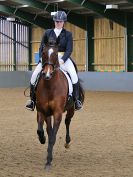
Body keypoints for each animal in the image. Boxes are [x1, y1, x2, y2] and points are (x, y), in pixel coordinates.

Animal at [35, 40, 84, 169]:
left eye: (56, 54)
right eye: (43, 52)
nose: (47, 74)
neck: (50, 86)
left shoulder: (57, 113)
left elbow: (53, 136)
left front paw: (48, 161)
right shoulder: (43, 111)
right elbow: (43, 130)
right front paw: (42, 140)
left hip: (71, 109)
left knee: (67, 121)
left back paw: (67, 142)